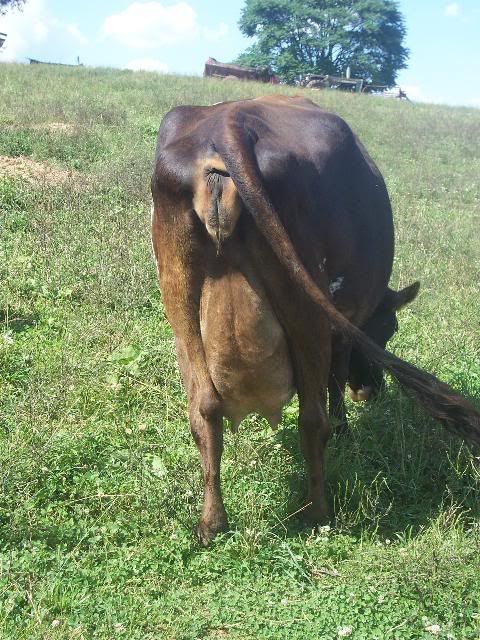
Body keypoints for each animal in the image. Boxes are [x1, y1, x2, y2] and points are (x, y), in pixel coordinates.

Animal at [151, 95, 480, 545]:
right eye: (389, 329)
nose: (371, 391)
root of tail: (228, 124)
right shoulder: (343, 321)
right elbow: (336, 379)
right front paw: (345, 426)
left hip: (180, 305)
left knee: (205, 409)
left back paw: (211, 524)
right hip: (309, 312)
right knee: (312, 417)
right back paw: (318, 513)